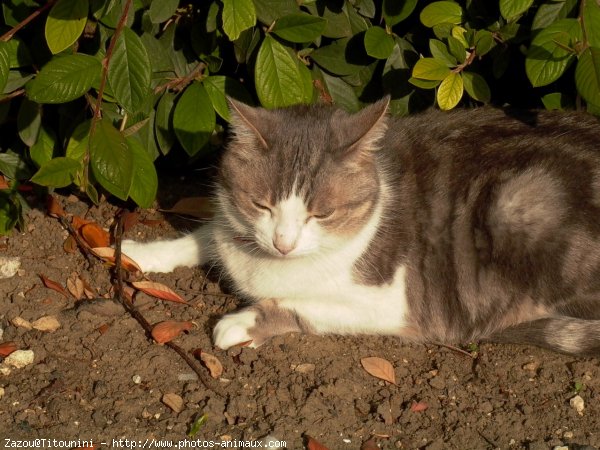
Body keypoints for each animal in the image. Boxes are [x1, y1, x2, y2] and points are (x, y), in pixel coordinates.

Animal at [118, 97, 600, 356]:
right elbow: (204, 235)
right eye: (262, 205)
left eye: (321, 214)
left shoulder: (396, 304)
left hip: (520, 205)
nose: (283, 243)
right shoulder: (230, 225)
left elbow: (299, 304)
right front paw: (141, 253)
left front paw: (243, 321)